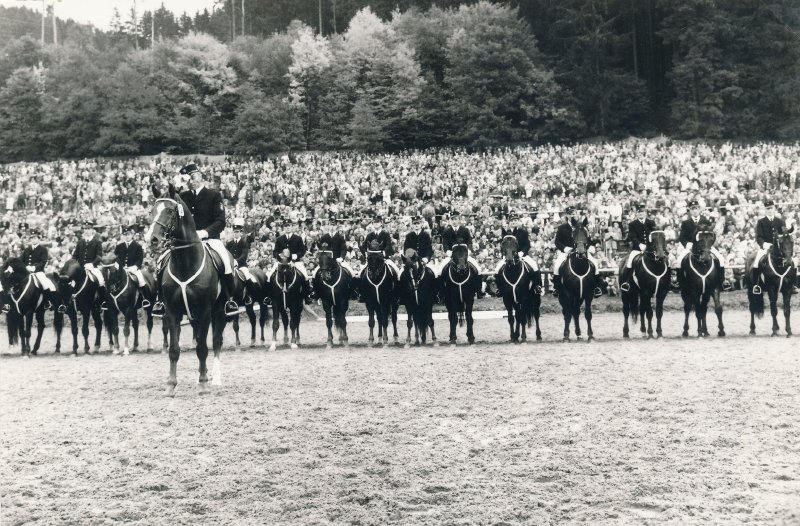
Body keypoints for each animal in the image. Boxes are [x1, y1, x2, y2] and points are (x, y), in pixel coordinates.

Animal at [145, 186, 228, 396]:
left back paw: (215, 379)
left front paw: (204, 384)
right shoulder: (172, 312)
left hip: (219, 312)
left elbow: (203, 348)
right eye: (152, 211)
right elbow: (174, 350)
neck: (185, 262)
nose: (153, 240)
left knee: (216, 342)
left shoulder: (205, 311)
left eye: (170, 211)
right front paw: (171, 385)